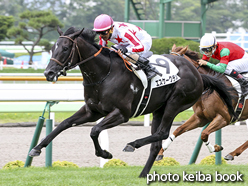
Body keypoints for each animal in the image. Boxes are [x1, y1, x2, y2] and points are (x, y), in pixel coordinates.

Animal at [28, 27, 234, 177]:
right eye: (52, 48)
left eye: (65, 49)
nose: (49, 73)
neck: (104, 74)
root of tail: (198, 73)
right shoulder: (92, 111)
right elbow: (64, 124)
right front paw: (36, 149)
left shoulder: (121, 114)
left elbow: (94, 130)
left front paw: (105, 154)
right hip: (158, 109)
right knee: (157, 142)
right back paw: (143, 174)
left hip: (176, 103)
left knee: (162, 132)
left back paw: (132, 144)